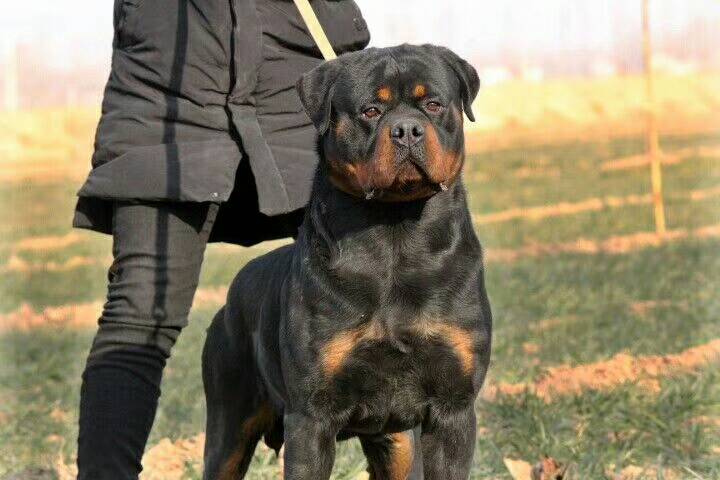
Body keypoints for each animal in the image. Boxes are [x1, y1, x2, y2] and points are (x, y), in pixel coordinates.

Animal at [202, 45, 496, 480]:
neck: (395, 236)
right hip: (228, 423)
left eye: (433, 104)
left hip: (397, 442)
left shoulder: (453, 408)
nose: (407, 129)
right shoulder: (311, 417)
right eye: (370, 110)